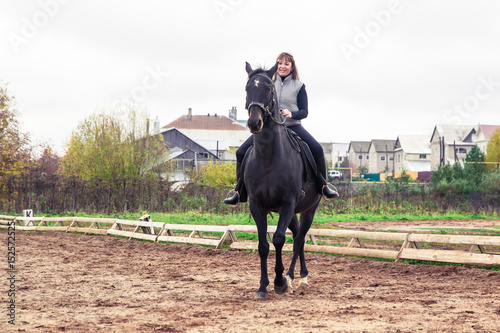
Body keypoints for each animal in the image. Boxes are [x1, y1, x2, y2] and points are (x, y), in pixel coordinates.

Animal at [244, 62, 322, 298]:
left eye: (269, 89)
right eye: (247, 88)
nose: (255, 122)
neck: (269, 158)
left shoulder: (287, 203)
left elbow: (278, 239)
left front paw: (279, 282)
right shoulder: (256, 205)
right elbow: (263, 245)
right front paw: (262, 287)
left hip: (308, 210)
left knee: (299, 239)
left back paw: (293, 277)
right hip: (294, 212)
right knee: (298, 237)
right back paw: (299, 275)